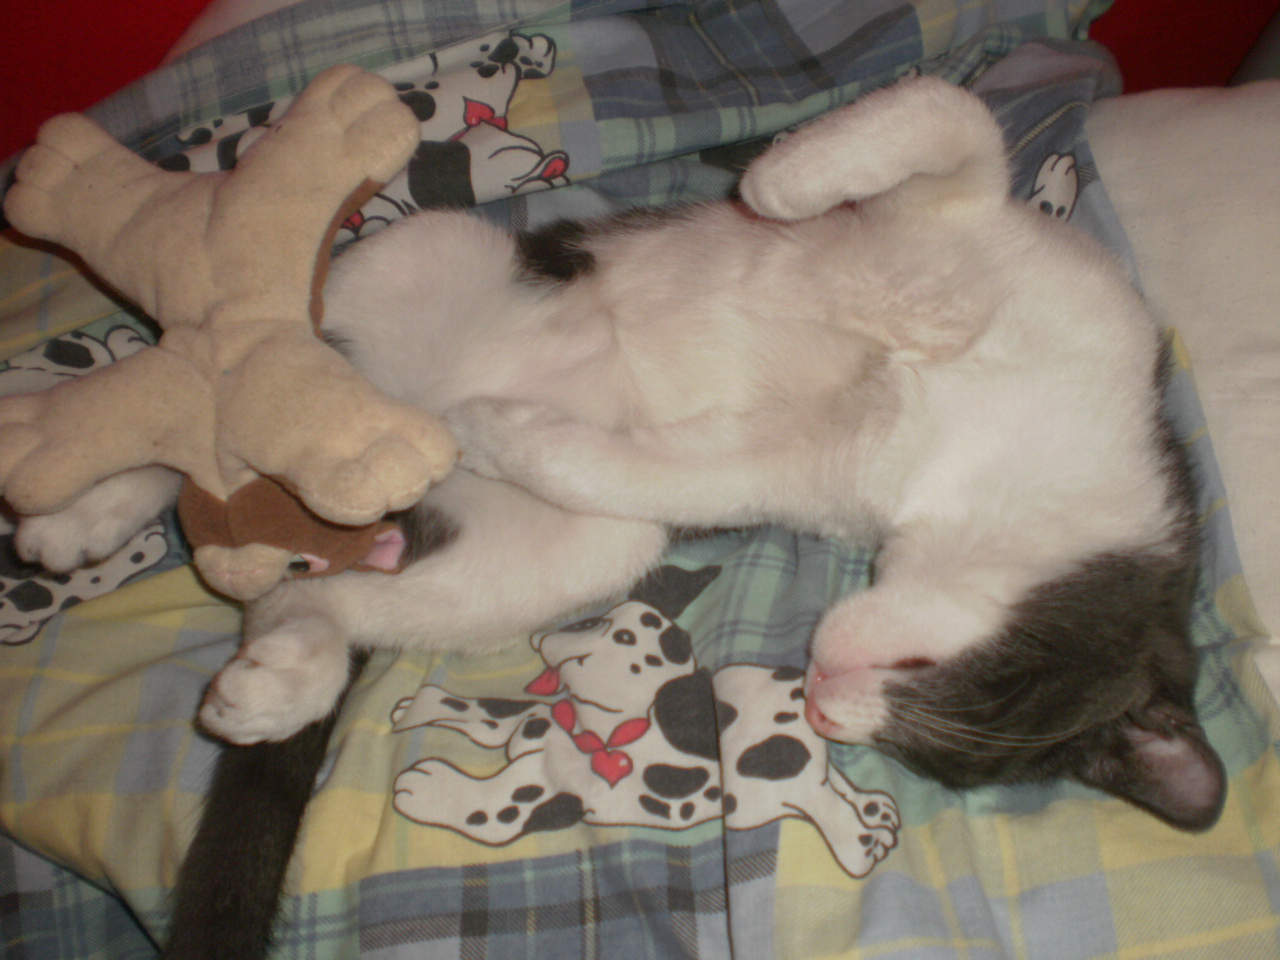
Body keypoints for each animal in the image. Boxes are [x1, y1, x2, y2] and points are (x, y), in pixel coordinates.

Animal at [13, 77, 1225, 957]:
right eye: (942, 683)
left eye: (921, 747)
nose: (826, 701)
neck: (1012, 447)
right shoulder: (992, 241)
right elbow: (955, 122)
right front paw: (784, 178)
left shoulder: (809, 468)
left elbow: (677, 474)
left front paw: (507, 428)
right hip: (428, 253)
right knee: (230, 382)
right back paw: (80, 512)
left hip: (562, 546)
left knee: (327, 576)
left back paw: (288, 654)